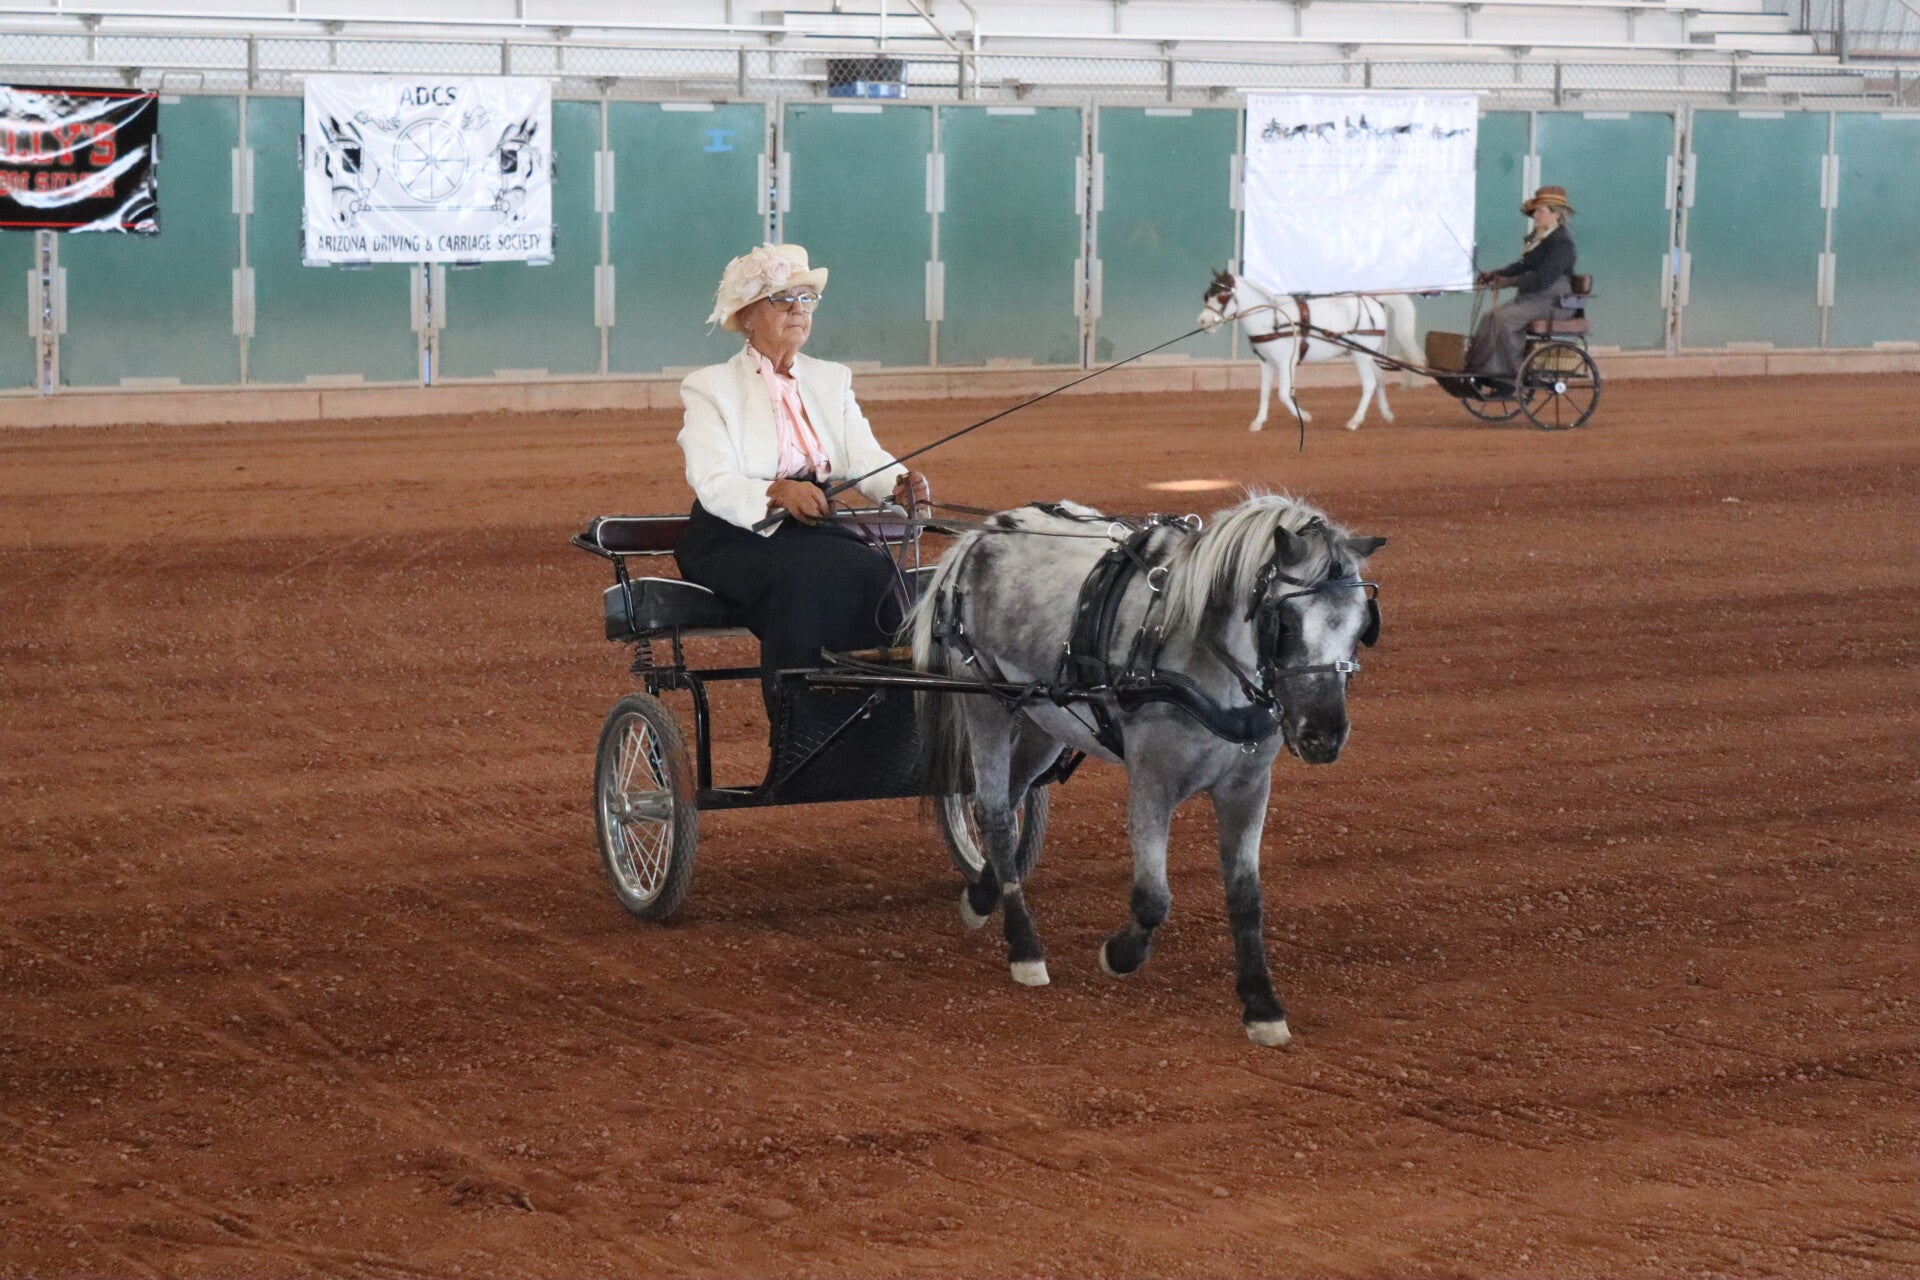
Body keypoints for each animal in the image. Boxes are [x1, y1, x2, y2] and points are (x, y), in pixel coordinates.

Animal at [909, 493, 1385, 1045]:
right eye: (1285, 624)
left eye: (1362, 626)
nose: (1323, 737)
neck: (1199, 653)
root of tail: (979, 535)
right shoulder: (1151, 780)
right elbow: (1154, 897)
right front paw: (1119, 954)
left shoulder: (1247, 785)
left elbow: (1246, 897)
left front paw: (1261, 1005)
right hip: (984, 699)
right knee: (995, 814)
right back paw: (1025, 948)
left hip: (1043, 719)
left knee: (1006, 802)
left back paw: (982, 896)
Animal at [1199, 269, 1421, 433]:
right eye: (1207, 294)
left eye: (1223, 296)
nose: (1203, 322)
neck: (1272, 320)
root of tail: (1374, 301)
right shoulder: (1266, 362)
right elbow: (1264, 393)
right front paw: (1258, 422)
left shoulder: (1286, 362)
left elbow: (1283, 394)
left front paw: (1304, 416)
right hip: (1366, 353)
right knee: (1380, 378)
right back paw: (1386, 414)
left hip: (1361, 355)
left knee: (1369, 383)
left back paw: (1355, 420)